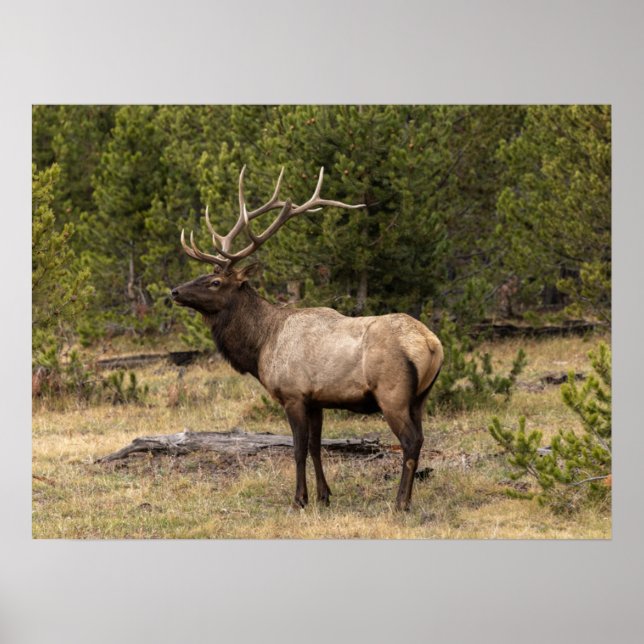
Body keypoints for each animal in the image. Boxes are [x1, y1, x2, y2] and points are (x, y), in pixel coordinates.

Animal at [171, 166, 444, 511]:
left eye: (215, 282)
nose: (174, 291)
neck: (260, 346)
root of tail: (432, 344)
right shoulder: (317, 400)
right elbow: (316, 446)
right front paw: (324, 496)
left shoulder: (293, 394)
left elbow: (298, 448)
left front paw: (299, 499)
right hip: (421, 397)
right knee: (420, 438)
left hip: (392, 393)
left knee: (410, 441)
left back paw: (400, 503)